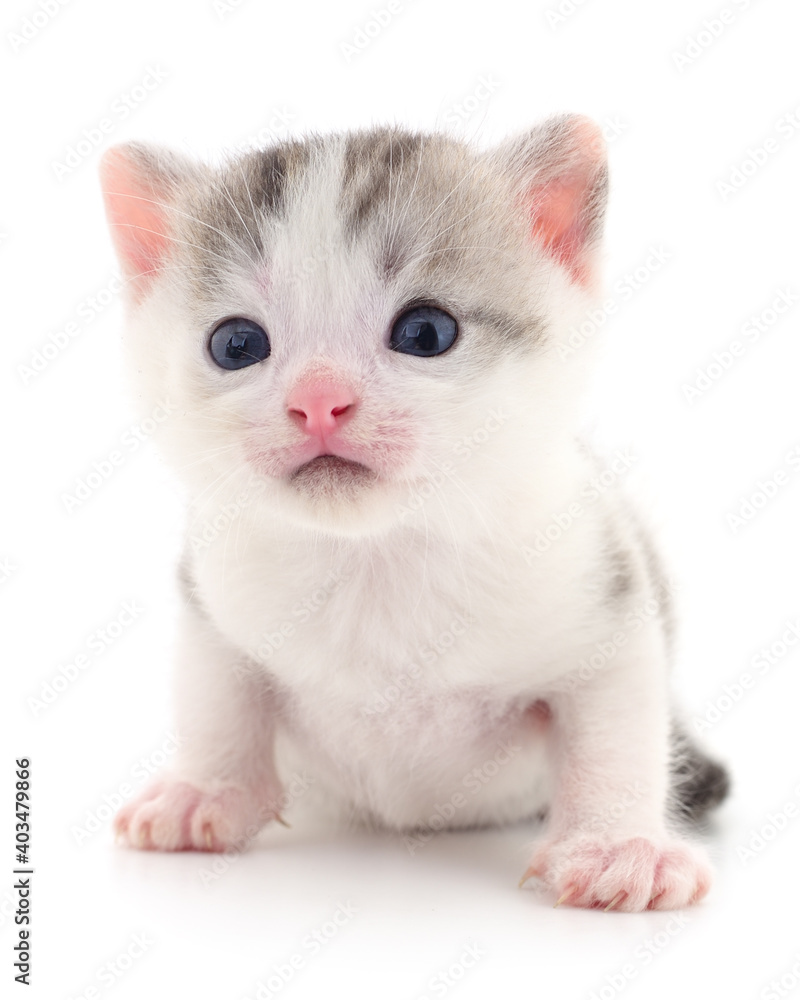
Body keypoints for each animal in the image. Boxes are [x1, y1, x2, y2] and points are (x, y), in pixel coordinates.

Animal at [98, 113, 724, 912]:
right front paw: (206, 789)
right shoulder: (214, 595)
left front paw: (620, 846)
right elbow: (219, 696)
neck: (377, 555)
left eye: (426, 332)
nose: (319, 400)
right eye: (236, 344)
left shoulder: (602, 583)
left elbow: (615, 727)